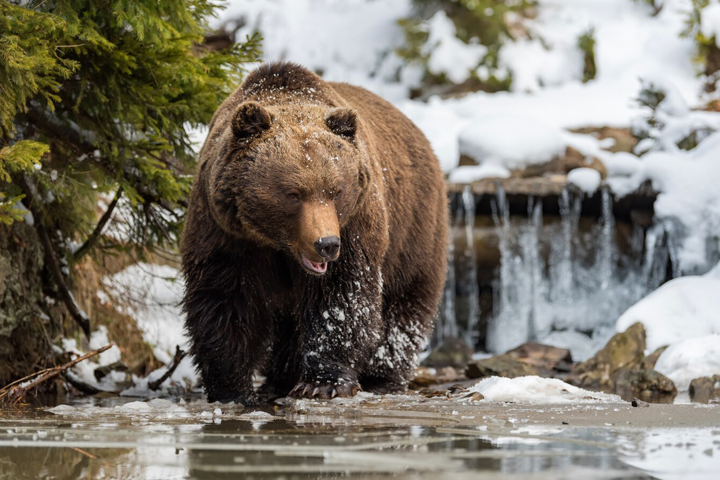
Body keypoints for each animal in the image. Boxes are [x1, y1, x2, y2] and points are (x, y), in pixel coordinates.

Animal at [181, 61, 444, 404]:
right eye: (293, 194)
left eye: (336, 190)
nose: (326, 244)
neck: (278, 244)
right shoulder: (225, 231)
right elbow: (225, 298)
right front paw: (231, 388)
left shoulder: (355, 225)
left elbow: (340, 298)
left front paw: (323, 382)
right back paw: (279, 379)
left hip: (413, 227)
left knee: (404, 302)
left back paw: (382, 377)